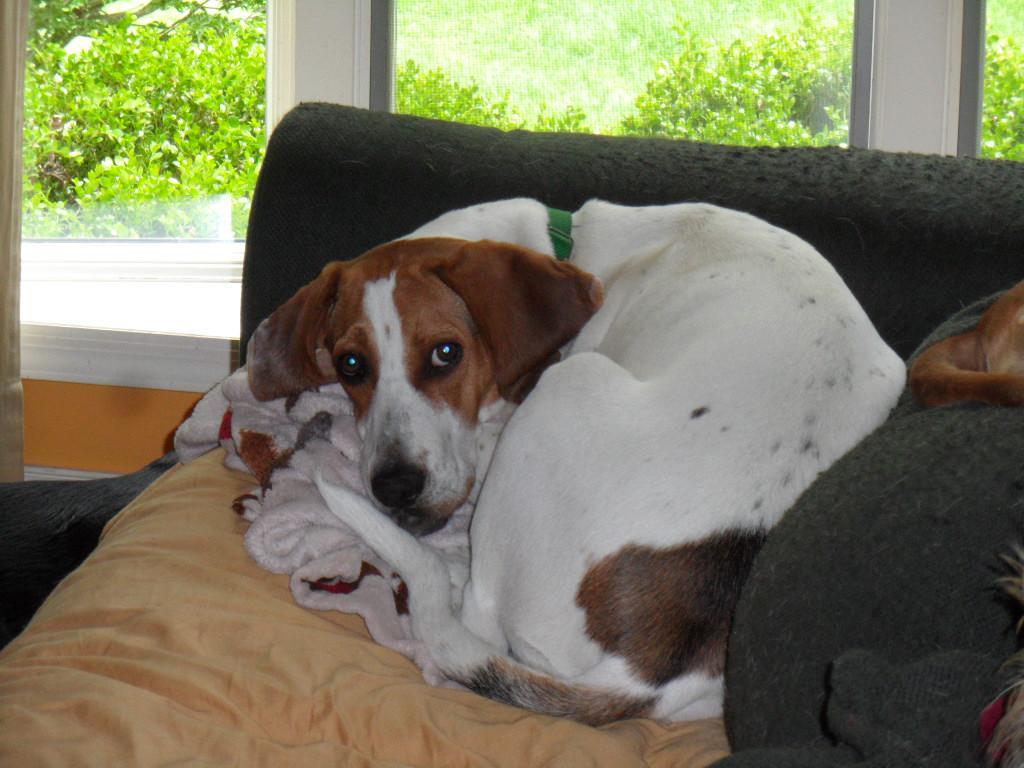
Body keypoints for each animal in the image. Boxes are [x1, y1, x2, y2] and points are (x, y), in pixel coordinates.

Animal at [247, 198, 905, 729]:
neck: (572, 245)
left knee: (475, 612)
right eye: (351, 365)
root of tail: (645, 674)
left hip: (570, 386)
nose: (395, 487)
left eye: (445, 353)